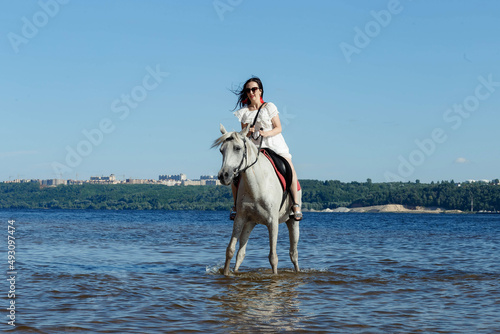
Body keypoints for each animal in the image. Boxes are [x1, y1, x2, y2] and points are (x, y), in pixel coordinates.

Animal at [212, 124, 300, 276]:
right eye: (221, 150)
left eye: (237, 148)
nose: (223, 175)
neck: (257, 184)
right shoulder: (240, 218)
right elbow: (230, 250)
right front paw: (226, 274)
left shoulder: (273, 222)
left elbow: (273, 257)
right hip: (250, 224)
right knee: (241, 253)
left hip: (293, 222)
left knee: (294, 254)